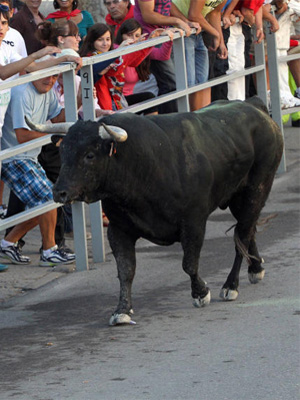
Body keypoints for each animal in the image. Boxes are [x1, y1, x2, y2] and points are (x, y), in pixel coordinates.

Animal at [52, 98, 284, 326]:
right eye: (62, 153)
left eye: (89, 155)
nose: (59, 192)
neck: (143, 164)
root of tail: (254, 105)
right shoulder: (118, 230)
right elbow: (126, 271)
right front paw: (122, 310)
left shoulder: (193, 223)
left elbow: (189, 264)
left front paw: (201, 293)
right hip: (237, 198)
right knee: (247, 230)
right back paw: (256, 269)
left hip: (257, 188)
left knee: (242, 236)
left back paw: (231, 285)